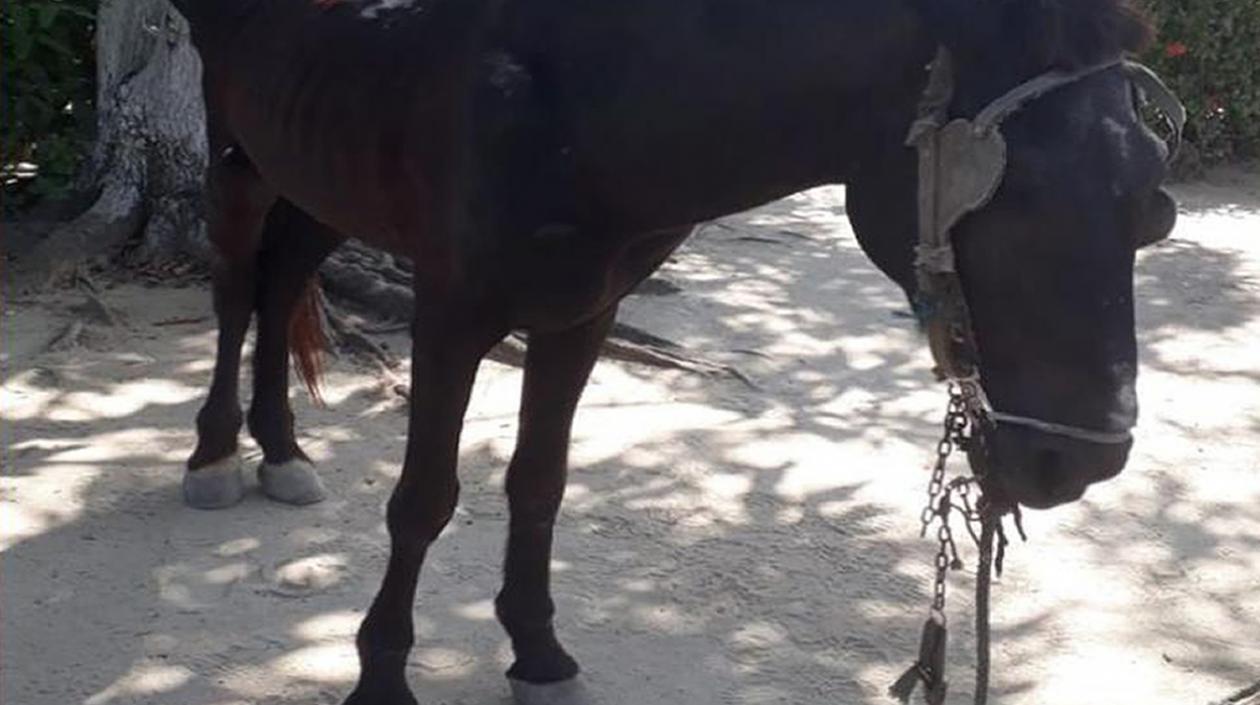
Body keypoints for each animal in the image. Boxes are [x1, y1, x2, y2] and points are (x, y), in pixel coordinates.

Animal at [168, 0, 1178, 702]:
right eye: (1021, 197)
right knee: (236, 287)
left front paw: (537, 651)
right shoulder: (450, 315)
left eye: (1148, 204)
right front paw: (381, 670)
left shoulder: (582, 313)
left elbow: (540, 481)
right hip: (238, 154)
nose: (1082, 460)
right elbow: (423, 500)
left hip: (322, 173)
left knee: (282, 282)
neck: (576, 93)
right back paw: (215, 453)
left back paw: (283, 448)